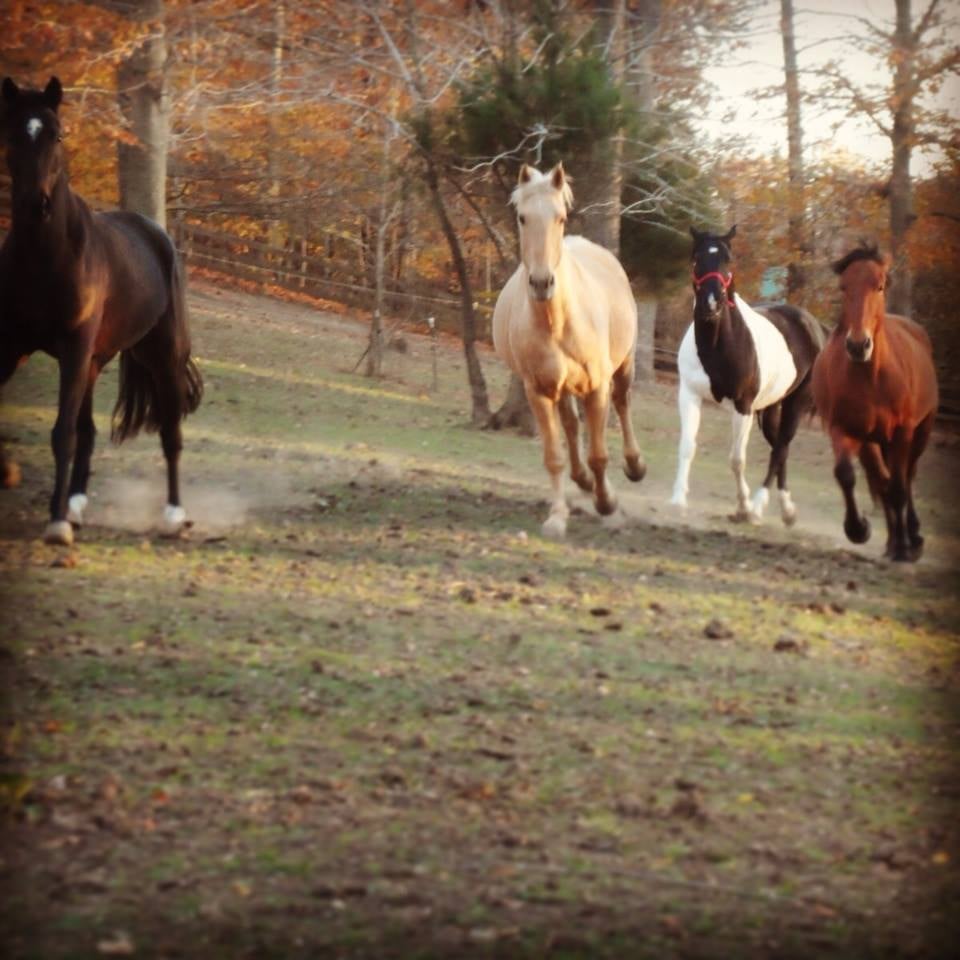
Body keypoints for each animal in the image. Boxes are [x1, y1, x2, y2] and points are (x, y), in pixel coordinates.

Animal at [0, 76, 202, 545]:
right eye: (13, 133)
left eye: (57, 134)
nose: (35, 205)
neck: (46, 258)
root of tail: (155, 232)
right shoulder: (10, 346)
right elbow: (75, 432)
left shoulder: (73, 349)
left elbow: (62, 433)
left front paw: (55, 524)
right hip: (93, 361)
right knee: (89, 432)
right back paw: (75, 505)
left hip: (159, 357)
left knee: (170, 433)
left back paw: (173, 515)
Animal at [492, 162, 645, 538]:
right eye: (522, 217)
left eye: (560, 217)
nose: (541, 283)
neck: (556, 320)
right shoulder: (538, 391)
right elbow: (554, 456)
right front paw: (557, 517)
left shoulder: (597, 388)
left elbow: (599, 454)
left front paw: (607, 504)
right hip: (561, 388)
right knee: (573, 427)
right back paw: (584, 482)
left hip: (623, 366)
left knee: (623, 403)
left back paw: (634, 466)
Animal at [669, 226, 824, 525]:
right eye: (697, 258)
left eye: (728, 260)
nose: (711, 303)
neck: (717, 346)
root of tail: (815, 326)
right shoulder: (689, 396)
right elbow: (686, 446)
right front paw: (678, 501)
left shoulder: (743, 406)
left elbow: (737, 459)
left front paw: (743, 507)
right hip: (771, 407)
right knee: (779, 448)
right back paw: (786, 509)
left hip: (796, 403)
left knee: (780, 449)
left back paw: (759, 507)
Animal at [811, 244, 938, 562]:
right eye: (843, 287)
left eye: (879, 286)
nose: (858, 345)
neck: (871, 377)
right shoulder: (844, 430)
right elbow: (846, 475)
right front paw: (859, 529)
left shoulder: (903, 432)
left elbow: (899, 486)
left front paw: (905, 547)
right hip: (873, 442)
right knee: (882, 480)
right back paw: (892, 541)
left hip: (921, 431)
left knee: (907, 477)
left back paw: (912, 538)